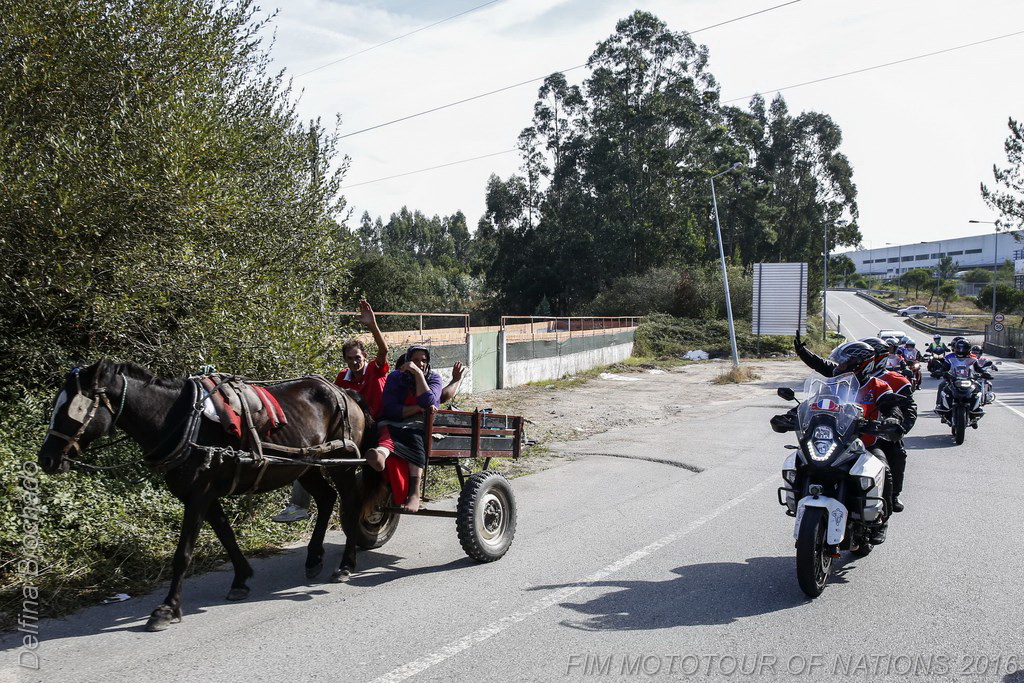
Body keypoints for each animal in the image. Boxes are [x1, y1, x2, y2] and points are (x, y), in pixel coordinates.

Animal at [38, 359, 373, 632]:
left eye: (75, 407)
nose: (47, 459)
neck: (181, 421)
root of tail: (344, 393)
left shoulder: (199, 494)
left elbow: (183, 554)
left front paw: (167, 609)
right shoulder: (205, 494)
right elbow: (226, 534)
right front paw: (241, 578)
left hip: (343, 461)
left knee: (351, 503)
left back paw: (346, 564)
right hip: (307, 465)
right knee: (327, 498)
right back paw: (314, 557)